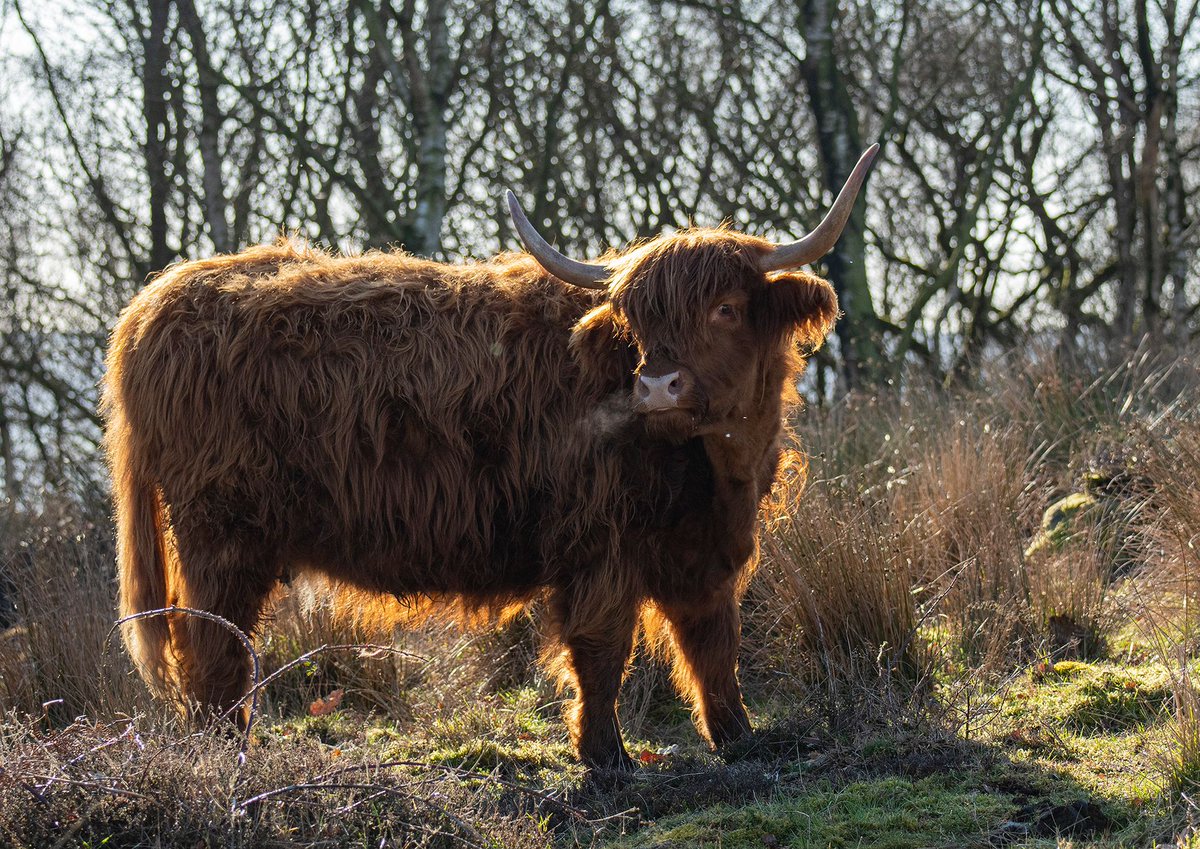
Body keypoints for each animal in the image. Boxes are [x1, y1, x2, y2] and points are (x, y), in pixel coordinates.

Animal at [103, 145, 877, 769]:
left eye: (726, 308)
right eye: (638, 320)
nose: (657, 385)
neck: (715, 465)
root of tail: (156, 302)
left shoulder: (705, 548)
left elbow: (713, 644)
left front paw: (740, 738)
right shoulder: (599, 546)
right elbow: (603, 652)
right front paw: (608, 758)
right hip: (220, 537)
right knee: (213, 654)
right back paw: (227, 758)